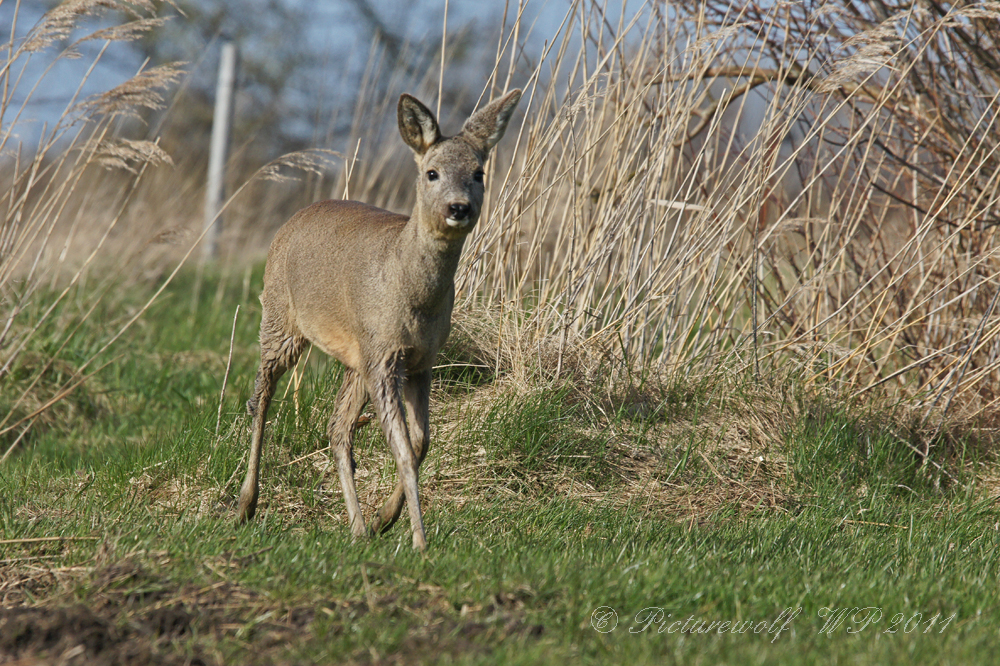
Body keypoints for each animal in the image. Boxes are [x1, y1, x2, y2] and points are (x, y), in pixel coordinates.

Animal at [239, 87, 524, 548]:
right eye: (432, 173)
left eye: (479, 172)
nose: (459, 208)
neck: (409, 294)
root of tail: (295, 216)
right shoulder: (385, 356)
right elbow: (404, 449)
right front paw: (419, 540)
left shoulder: (419, 359)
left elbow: (422, 442)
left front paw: (384, 519)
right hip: (280, 317)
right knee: (261, 398)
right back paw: (246, 505)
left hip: (357, 356)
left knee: (337, 426)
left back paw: (358, 527)